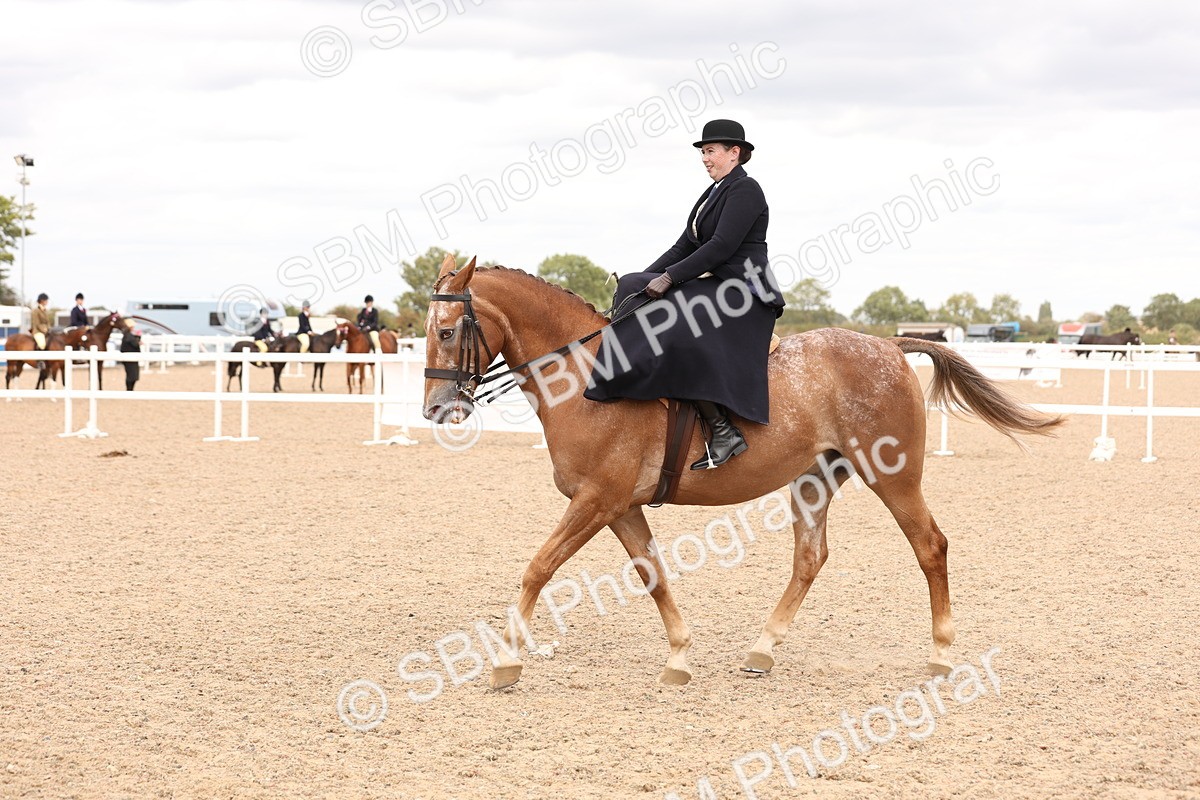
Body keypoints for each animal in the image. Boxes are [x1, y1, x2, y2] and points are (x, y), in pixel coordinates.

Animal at [422, 255, 1064, 690]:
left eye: (448, 331)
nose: (434, 410)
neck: (589, 377)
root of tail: (888, 346)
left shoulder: (595, 501)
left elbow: (537, 568)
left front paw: (506, 662)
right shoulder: (619, 506)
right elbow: (653, 575)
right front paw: (679, 658)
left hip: (894, 476)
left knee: (930, 546)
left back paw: (940, 655)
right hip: (814, 480)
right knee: (810, 558)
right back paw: (762, 650)